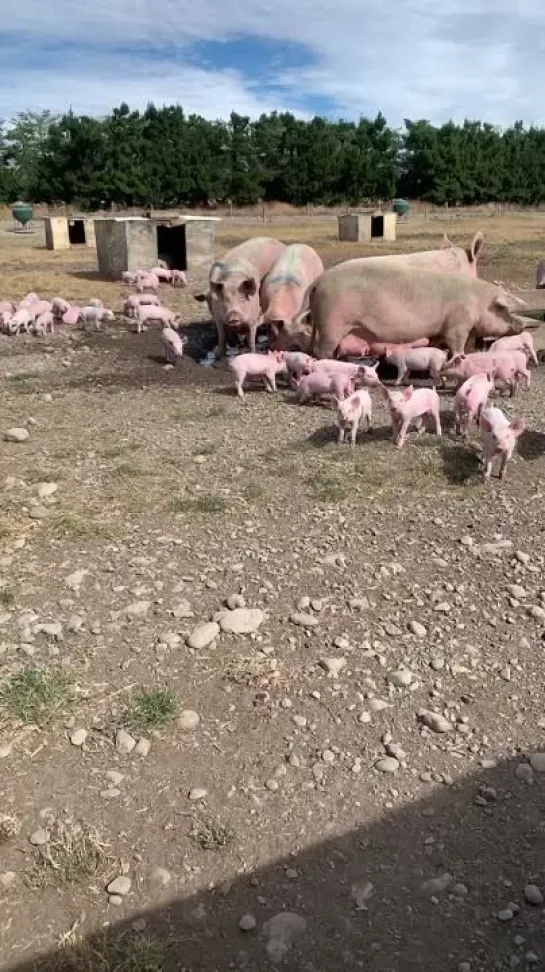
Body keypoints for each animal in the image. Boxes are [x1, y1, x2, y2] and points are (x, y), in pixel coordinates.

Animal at [302, 260, 524, 362]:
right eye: (503, 309)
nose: (522, 326)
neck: (477, 301)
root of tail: (317, 282)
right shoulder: (458, 324)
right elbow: (457, 344)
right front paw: (460, 357)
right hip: (332, 322)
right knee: (322, 350)